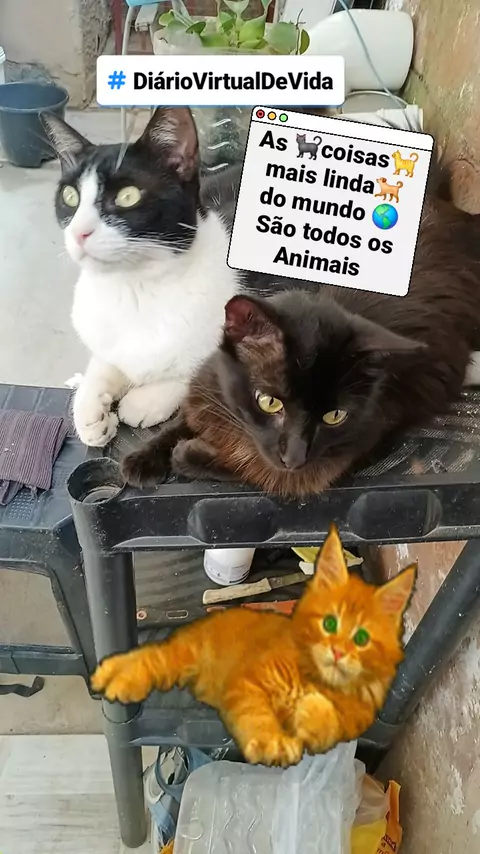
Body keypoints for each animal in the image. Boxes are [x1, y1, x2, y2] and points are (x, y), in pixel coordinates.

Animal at [41, 107, 241, 447]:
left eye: (127, 196)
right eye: (69, 196)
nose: (79, 232)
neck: (134, 289)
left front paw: (145, 401)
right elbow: (104, 360)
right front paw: (91, 408)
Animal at [121, 187, 480, 497]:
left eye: (335, 416)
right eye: (269, 402)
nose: (294, 457)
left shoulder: (344, 450)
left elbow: (256, 471)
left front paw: (188, 454)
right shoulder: (206, 385)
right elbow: (178, 423)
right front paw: (143, 459)